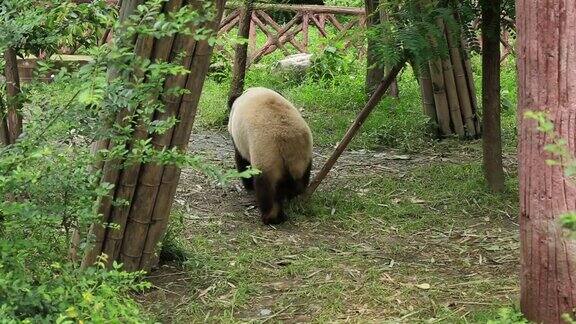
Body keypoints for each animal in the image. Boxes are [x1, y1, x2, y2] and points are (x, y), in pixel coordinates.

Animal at [227, 86, 312, 225]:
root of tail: (286, 141)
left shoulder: (240, 136)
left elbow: (242, 161)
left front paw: (248, 185)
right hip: (303, 154)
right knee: (299, 181)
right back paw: (292, 197)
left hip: (267, 153)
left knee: (266, 187)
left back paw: (272, 217)